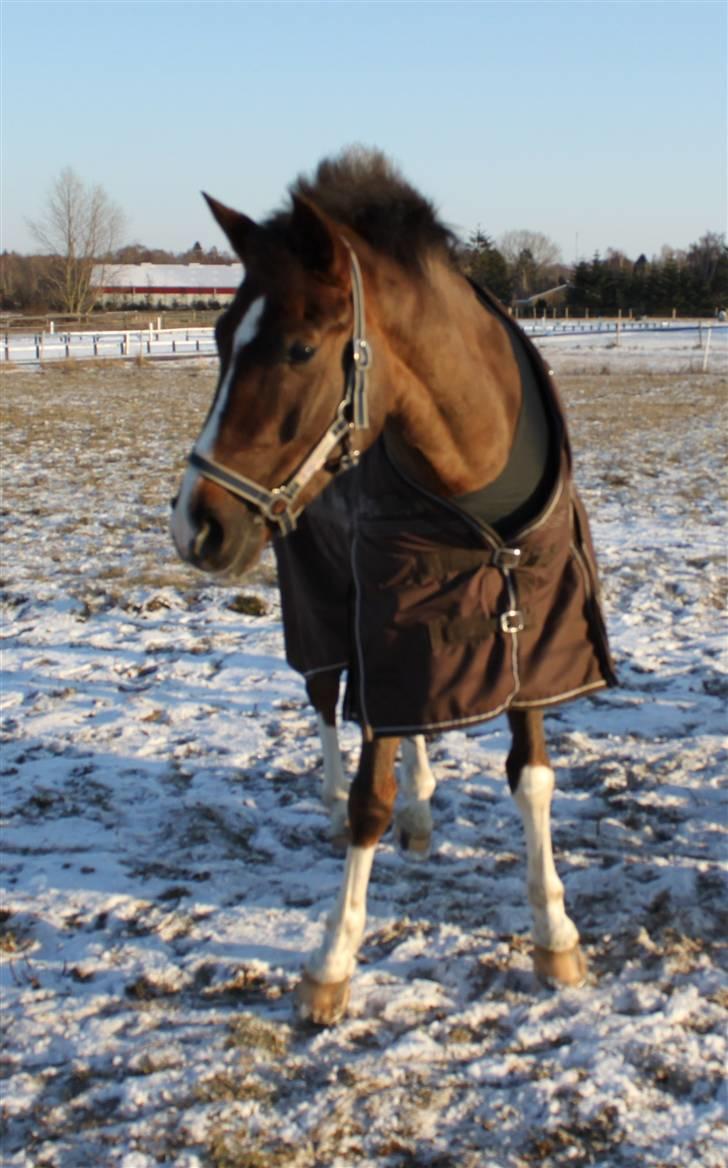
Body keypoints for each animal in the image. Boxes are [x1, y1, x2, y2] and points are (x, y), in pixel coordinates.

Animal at [171, 149, 616, 1025]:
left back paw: (421, 804)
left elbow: (534, 779)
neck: (476, 486)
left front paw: (555, 933)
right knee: (327, 701)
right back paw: (336, 793)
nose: (193, 524)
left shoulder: (530, 627)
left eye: (300, 350)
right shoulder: (384, 615)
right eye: (216, 337)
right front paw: (332, 959)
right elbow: (364, 799)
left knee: (407, 724)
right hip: (326, 599)